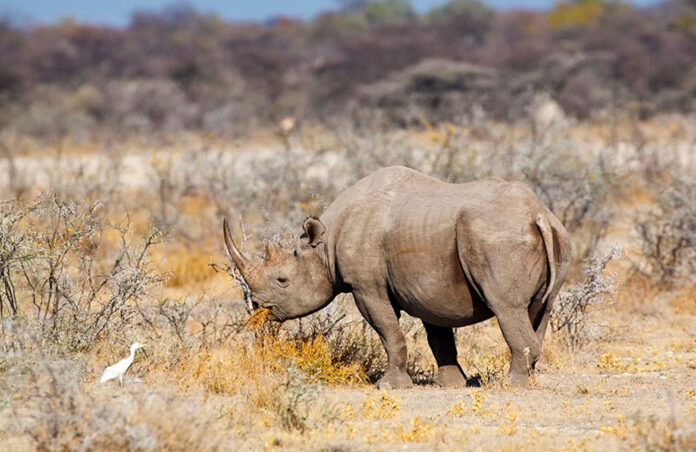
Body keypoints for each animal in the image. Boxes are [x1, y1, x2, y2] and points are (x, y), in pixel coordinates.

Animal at [223, 166, 571, 388]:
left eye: (282, 281)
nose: (257, 308)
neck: (325, 244)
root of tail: (537, 213)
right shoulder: (428, 286)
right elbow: (439, 337)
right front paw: (450, 385)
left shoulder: (366, 287)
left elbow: (389, 333)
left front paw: (388, 386)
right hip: (558, 235)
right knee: (540, 309)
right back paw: (528, 378)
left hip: (497, 236)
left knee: (506, 307)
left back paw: (511, 386)